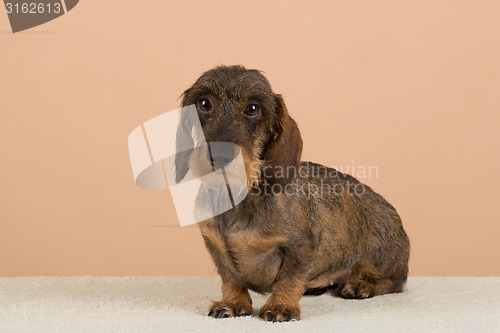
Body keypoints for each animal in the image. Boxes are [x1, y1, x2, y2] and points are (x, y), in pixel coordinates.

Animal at [176, 63, 410, 320]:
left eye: (253, 108)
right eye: (204, 103)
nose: (219, 156)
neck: (237, 196)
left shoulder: (301, 247)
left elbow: (289, 278)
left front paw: (281, 305)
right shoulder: (215, 244)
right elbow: (230, 277)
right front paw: (232, 302)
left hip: (382, 261)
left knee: (395, 283)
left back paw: (361, 286)